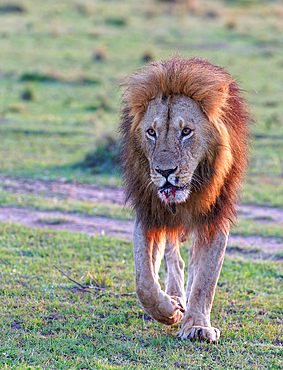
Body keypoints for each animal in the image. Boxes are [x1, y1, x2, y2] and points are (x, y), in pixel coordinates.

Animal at [119, 57, 251, 344]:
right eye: (151, 132)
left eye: (187, 131)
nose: (165, 171)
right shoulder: (150, 213)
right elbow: (144, 282)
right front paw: (169, 310)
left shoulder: (216, 217)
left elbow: (206, 278)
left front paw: (198, 325)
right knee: (173, 257)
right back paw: (176, 297)